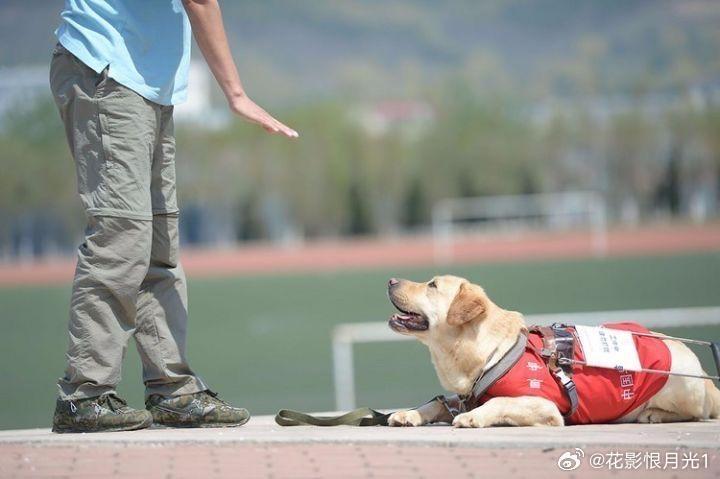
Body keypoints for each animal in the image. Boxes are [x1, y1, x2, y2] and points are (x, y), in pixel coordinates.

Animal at [388, 276, 720, 430]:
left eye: (432, 285)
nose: (390, 280)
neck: (490, 352)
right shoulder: (465, 394)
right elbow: (437, 402)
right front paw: (408, 413)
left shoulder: (545, 405)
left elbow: (498, 401)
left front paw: (472, 417)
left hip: (680, 384)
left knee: (697, 412)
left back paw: (654, 413)